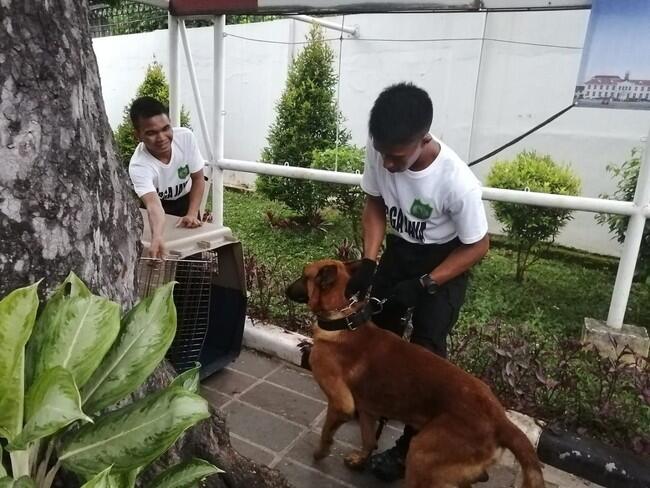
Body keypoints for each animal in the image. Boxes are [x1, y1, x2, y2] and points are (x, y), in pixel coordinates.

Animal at [286, 260, 544, 488]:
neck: (343, 318)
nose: (285, 289)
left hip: (421, 455)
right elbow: (369, 440)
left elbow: (326, 432)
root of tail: (501, 419)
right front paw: (361, 459)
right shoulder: (368, 409)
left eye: (304, 275)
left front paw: (320, 452)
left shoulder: (341, 404)